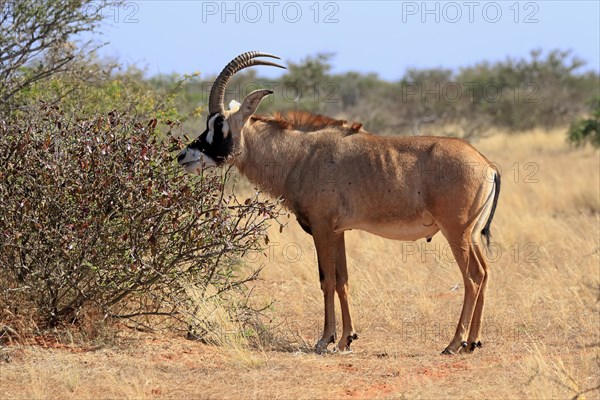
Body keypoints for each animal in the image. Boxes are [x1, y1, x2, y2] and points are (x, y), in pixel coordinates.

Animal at [178, 51, 502, 354]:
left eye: (219, 124)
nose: (183, 156)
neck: (299, 154)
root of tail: (487, 165)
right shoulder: (339, 231)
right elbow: (343, 280)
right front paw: (347, 338)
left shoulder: (322, 228)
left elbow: (327, 280)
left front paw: (325, 339)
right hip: (471, 234)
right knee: (485, 273)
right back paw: (473, 341)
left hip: (456, 232)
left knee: (473, 277)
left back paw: (454, 343)